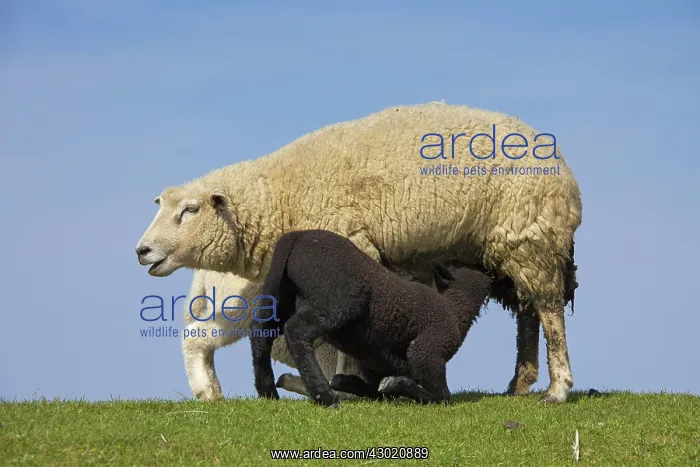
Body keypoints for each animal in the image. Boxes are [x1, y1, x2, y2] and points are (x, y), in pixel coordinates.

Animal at [250, 229, 492, 407]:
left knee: (261, 334)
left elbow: (377, 391)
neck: (454, 308)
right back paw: (324, 396)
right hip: (335, 302)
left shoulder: (375, 361)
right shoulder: (428, 350)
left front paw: (347, 382)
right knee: (296, 332)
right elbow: (442, 396)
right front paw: (400, 385)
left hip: (280, 296)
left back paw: (268, 391)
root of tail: (297, 237)